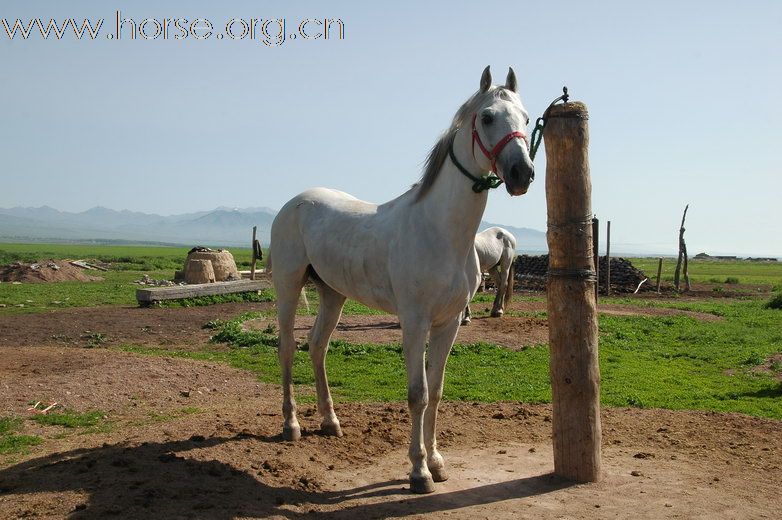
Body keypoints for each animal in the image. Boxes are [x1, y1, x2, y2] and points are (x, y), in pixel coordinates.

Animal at [272, 66, 536, 496]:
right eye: (487, 117)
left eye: (527, 119)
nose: (522, 173)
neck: (441, 231)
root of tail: (294, 203)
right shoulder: (414, 322)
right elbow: (418, 394)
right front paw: (418, 471)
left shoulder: (448, 324)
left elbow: (438, 391)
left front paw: (438, 462)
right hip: (288, 286)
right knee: (287, 348)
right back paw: (291, 425)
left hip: (333, 294)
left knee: (317, 346)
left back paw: (330, 422)